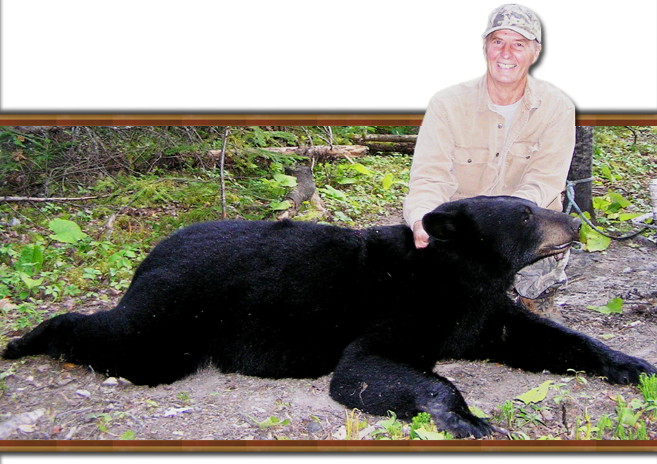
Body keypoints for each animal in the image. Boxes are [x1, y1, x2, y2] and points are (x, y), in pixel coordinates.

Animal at [3, 196, 656, 438]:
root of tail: (152, 253)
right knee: (128, 341)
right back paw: (23, 339)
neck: (457, 275)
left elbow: (548, 337)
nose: (573, 222)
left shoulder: (481, 316)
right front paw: (469, 419)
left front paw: (634, 364)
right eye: (523, 214)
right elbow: (366, 369)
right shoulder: (401, 308)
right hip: (175, 314)